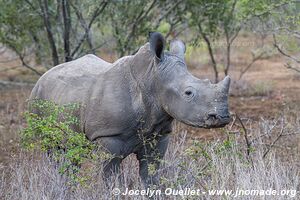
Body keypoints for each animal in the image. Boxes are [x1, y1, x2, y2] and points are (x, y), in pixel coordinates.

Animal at [29, 32, 231, 185]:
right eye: (188, 93)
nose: (223, 117)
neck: (152, 78)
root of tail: (43, 75)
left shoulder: (158, 135)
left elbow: (150, 175)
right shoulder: (108, 136)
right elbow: (110, 177)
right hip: (37, 97)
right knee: (53, 149)